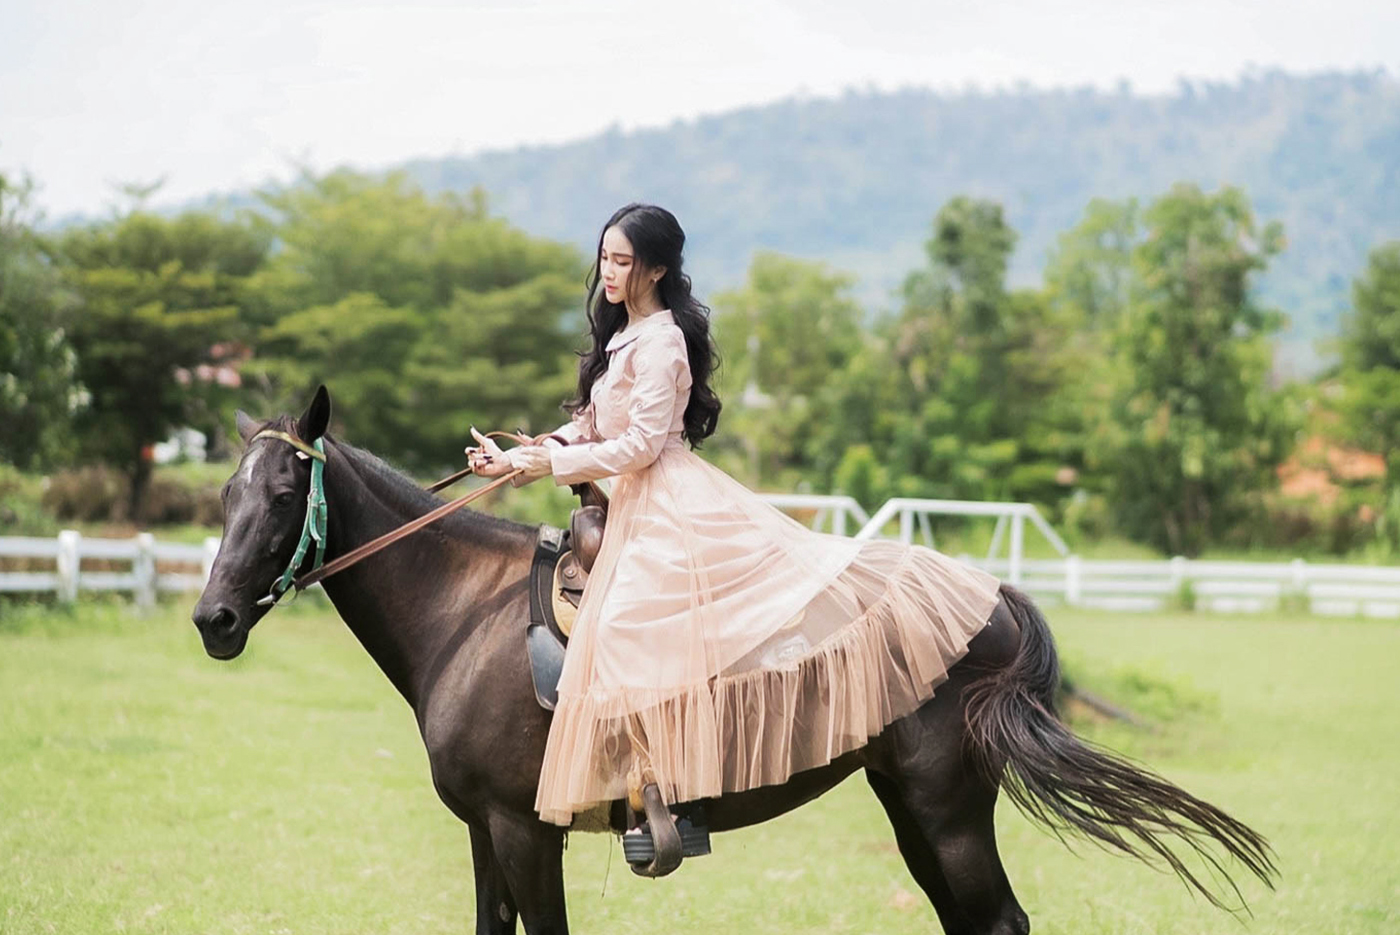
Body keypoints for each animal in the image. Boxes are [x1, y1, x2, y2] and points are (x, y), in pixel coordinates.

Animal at [191, 383, 1276, 929]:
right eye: (223, 495)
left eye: (283, 496)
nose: (213, 619)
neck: (467, 615)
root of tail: (987, 595)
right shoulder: (483, 833)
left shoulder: (524, 831)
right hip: (913, 806)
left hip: (948, 809)